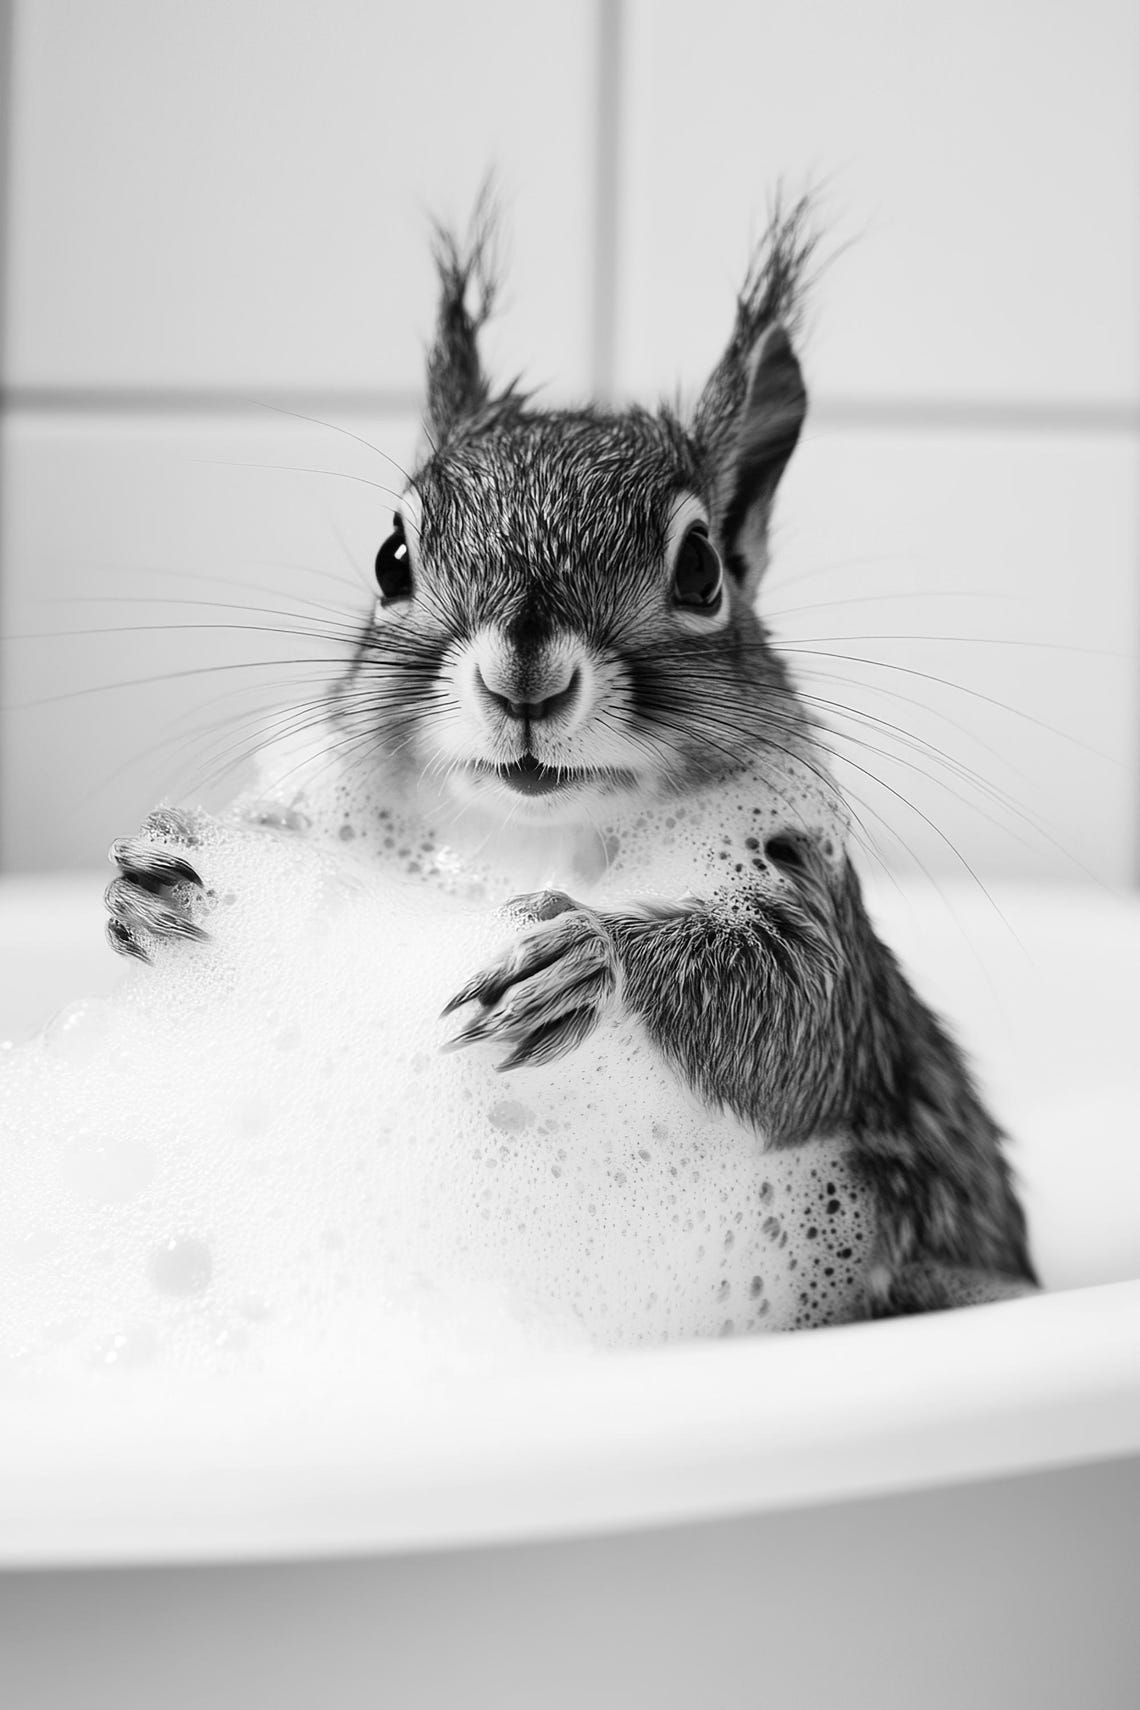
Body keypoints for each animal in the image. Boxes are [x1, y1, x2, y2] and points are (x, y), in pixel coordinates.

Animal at [104, 200, 1037, 1323]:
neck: (529, 843)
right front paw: (168, 882)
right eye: (391, 557)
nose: (524, 679)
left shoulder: (809, 894)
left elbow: (795, 1015)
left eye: (701, 567)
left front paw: (587, 955)